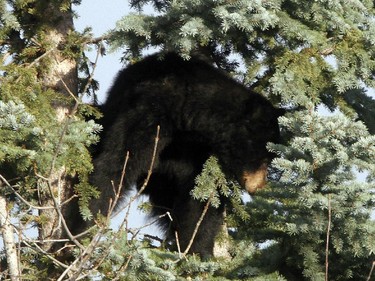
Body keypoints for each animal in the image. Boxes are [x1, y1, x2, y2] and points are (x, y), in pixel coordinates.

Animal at [89, 52, 282, 256]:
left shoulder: (197, 154)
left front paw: (198, 250)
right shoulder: (147, 114)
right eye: (264, 157)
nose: (260, 187)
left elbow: (199, 198)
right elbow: (115, 166)